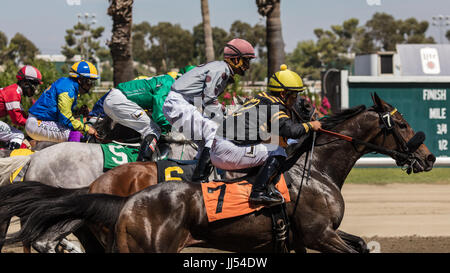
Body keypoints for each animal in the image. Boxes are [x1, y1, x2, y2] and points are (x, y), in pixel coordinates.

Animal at [1, 93, 434, 253]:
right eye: (403, 123)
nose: (429, 159)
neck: (313, 170)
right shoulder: (319, 235)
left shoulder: (311, 237)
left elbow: (366, 244)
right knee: (45, 241)